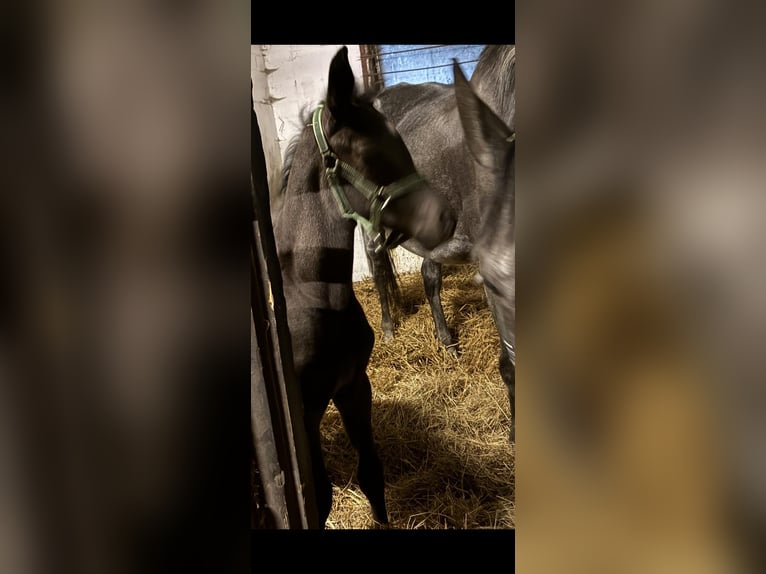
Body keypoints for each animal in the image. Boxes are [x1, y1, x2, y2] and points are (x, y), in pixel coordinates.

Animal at [271, 46, 457, 528]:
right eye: (370, 150)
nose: (447, 218)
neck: (313, 297)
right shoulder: (303, 417)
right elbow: (317, 497)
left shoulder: (354, 386)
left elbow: (371, 473)